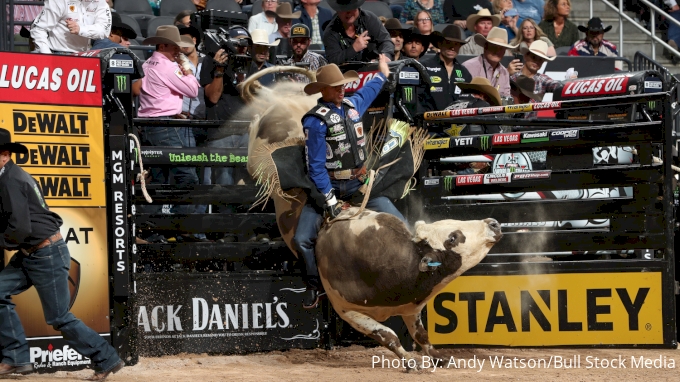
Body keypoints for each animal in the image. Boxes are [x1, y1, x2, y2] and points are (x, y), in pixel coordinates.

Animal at [316, 209, 502, 368]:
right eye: (452, 238)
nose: (493, 223)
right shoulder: (347, 311)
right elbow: (388, 335)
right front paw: (411, 362)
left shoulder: (411, 309)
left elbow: (421, 335)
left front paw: (439, 358)